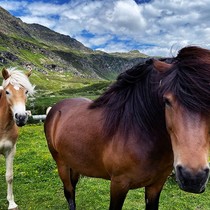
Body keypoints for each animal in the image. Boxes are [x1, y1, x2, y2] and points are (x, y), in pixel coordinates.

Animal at [44, 46, 210, 210]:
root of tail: (55, 108)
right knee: (69, 192)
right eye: (167, 101)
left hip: (75, 163)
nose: (193, 177)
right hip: (61, 163)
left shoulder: (156, 185)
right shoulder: (119, 184)